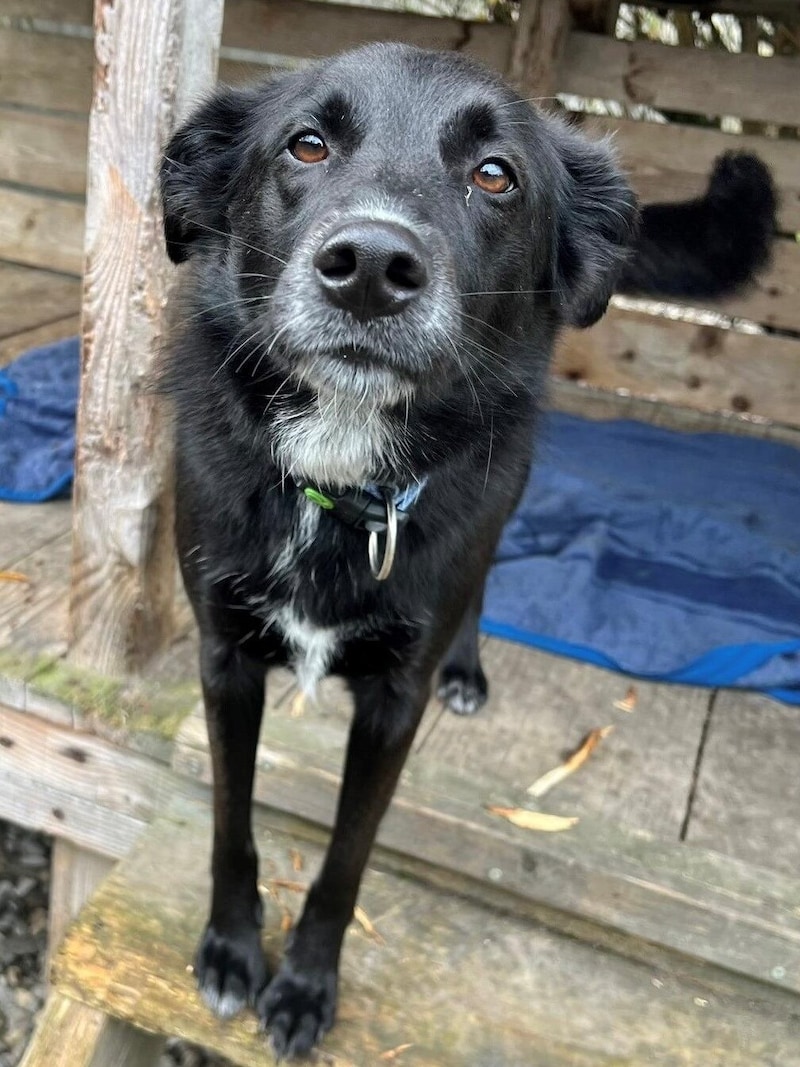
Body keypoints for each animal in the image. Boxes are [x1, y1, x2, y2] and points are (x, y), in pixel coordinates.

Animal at [161, 41, 776, 1058]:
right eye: (306, 144)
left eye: (496, 175)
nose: (370, 267)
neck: (340, 482)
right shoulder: (223, 659)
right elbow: (228, 821)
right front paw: (231, 949)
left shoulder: (392, 706)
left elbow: (346, 860)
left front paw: (305, 986)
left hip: (502, 491)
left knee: (483, 578)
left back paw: (469, 667)